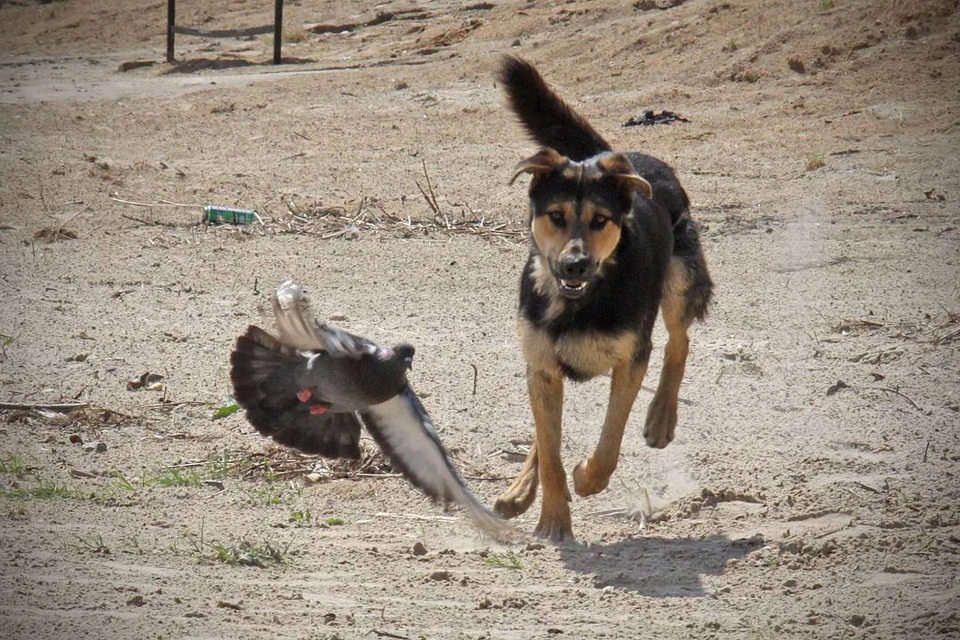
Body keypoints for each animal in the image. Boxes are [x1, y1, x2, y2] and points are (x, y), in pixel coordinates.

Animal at [496, 57, 712, 544]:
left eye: (600, 220)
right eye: (556, 216)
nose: (575, 265)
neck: (580, 302)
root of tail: (620, 158)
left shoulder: (630, 360)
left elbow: (610, 441)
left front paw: (587, 478)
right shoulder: (541, 366)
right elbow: (550, 451)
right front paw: (553, 518)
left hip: (679, 281)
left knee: (679, 341)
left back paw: (661, 417)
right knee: (543, 435)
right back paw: (519, 491)